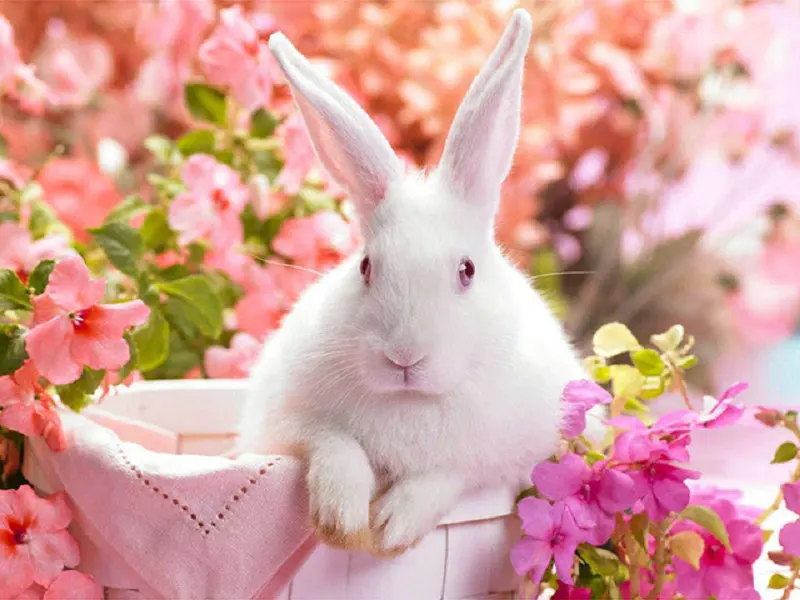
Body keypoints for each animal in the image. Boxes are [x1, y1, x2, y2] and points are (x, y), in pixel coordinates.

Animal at [236, 8, 602, 557]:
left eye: (467, 270)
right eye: (366, 267)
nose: (404, 358)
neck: (411, 402)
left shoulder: (505, 457)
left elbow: (446, 475)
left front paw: (391, 527)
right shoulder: (284, 421)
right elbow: (333, 443)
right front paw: (343, 520)